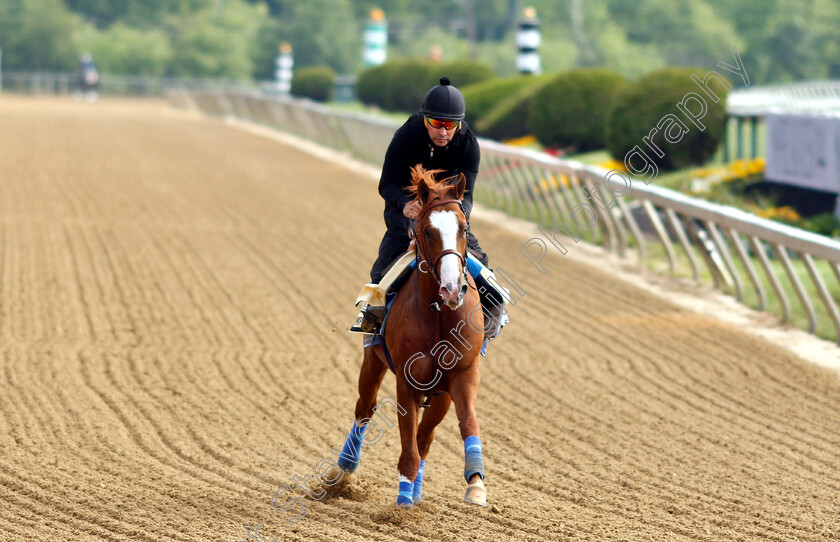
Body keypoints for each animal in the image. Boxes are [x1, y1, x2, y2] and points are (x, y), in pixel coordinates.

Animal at [340, 166, 488, 510]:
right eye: (427, 230)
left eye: (463, 228)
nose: (452, 287)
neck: (438, 314)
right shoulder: (407, 381)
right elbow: (407, 444)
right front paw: (403, 503)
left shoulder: (463, 374)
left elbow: (467, 423)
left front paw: (476, 482)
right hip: (373, 362)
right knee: (365, 409)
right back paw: (342, 471)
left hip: (440, 395)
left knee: (426, 437)